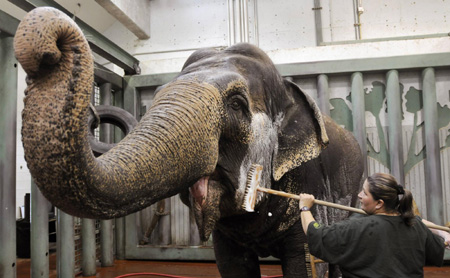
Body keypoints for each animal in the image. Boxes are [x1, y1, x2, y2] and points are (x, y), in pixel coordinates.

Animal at [14, 7, 364, 278]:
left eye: (237, 104)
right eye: (156, 97)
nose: (47, 48)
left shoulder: (311, 183)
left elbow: (307, 264)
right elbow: (232, 265)